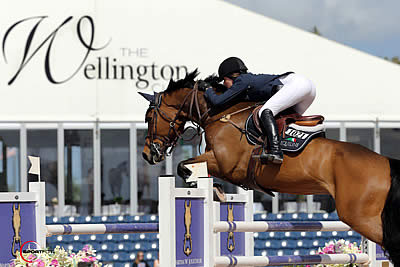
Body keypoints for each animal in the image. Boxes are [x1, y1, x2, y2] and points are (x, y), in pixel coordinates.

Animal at [140, 70, 400, 266]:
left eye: (150, 117)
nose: (148, 154)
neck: (221, 115)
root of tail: (386, 163)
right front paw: (216, 190)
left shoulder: (224, 163)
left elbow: (185, 167)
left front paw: (214, 189)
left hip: (360, 216)